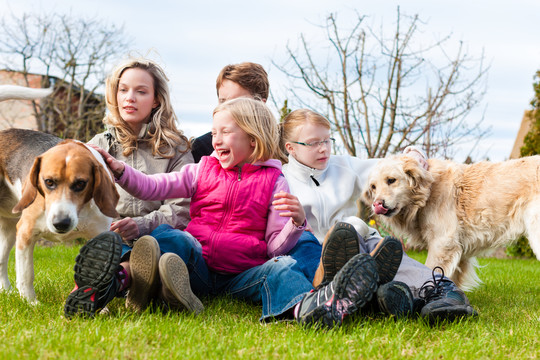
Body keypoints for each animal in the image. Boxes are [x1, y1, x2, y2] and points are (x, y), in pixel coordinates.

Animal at [0, 128, 119, 302]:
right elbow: (26, 274)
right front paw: (30, 302)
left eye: (80, 183)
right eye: (49, 182)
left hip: (8, 229)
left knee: (1, 261)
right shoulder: (25, 232)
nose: (61, 223)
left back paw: (6, 291)